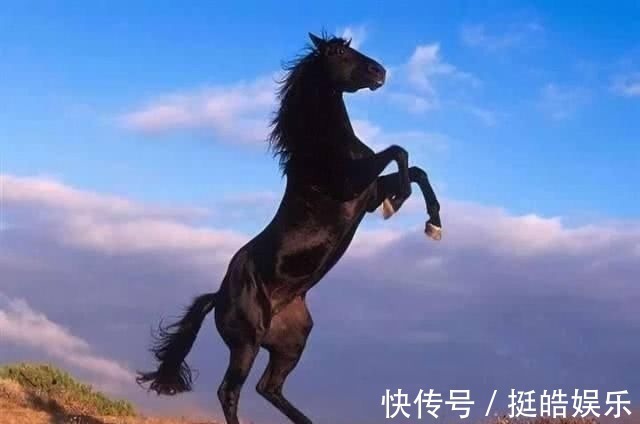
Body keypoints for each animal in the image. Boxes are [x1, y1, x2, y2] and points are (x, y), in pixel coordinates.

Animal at [136, 32, 442, 424]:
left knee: (268, 387)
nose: (380, 72)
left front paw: (434, 225)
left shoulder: (368, 195)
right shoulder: (352, 185)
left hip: (292, 341)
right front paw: (400, 202)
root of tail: (217, 296)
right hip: (247, 342)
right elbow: (399, 152)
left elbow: (416, 170)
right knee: (230, 391)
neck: (324, 148)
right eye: (338, 52)